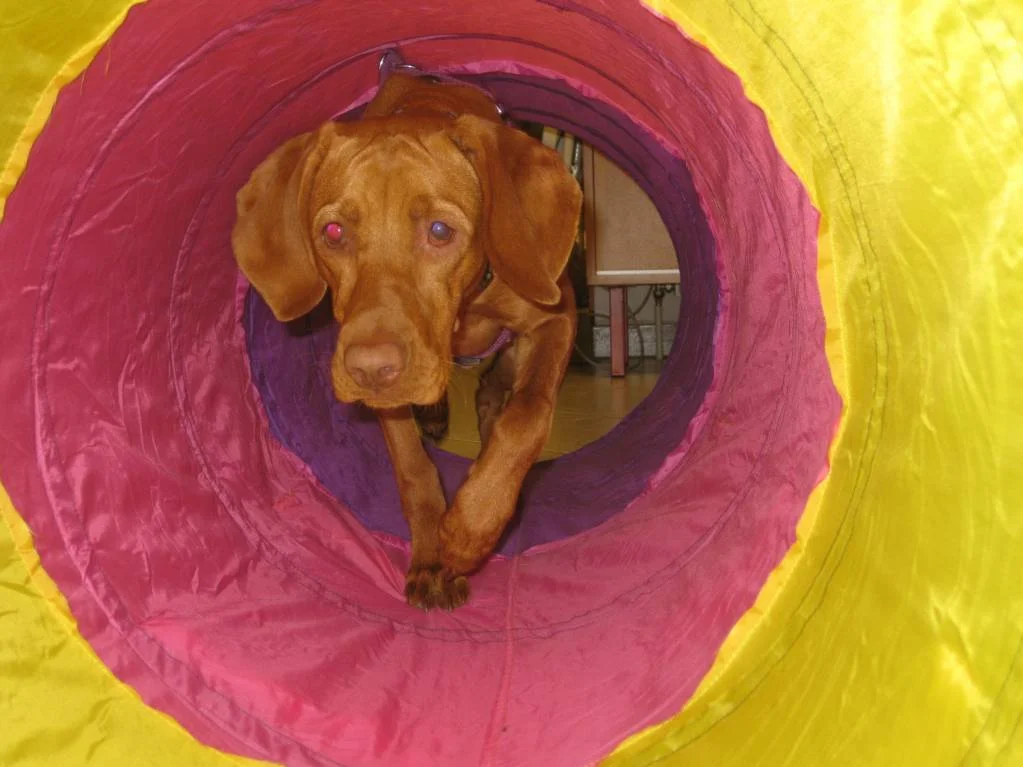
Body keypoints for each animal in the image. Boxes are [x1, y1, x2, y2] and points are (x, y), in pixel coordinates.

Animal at [234, 72, 585, 613]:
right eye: (332, 232)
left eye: (440, 231)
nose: (369, 370)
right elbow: (414, 470)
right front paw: (434, 556)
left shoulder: (557, 319)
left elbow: (527, 416)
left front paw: (471, 528)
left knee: (496, 393)